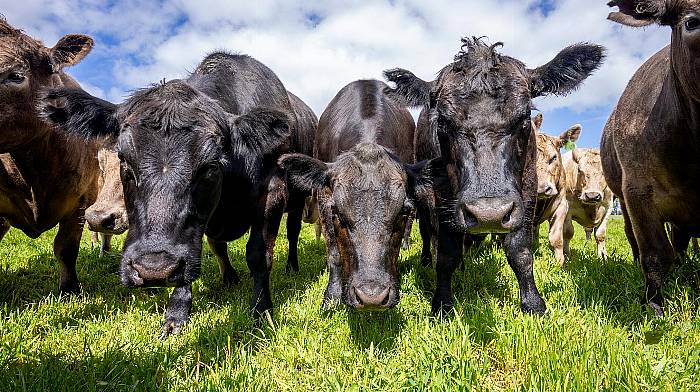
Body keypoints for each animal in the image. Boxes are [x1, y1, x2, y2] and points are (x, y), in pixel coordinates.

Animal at [39, 52, 296, 336]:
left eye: (210, 164)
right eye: (124, 159)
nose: (153, 269)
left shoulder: (274, 192)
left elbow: (259, 255)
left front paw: (261, 311)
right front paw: (176, 314)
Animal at [278, 79, 426, 310]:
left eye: (402, 212)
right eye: (338, 213)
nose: (372, 297)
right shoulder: (324, 197)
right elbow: (334, 254)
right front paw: (331, 297)